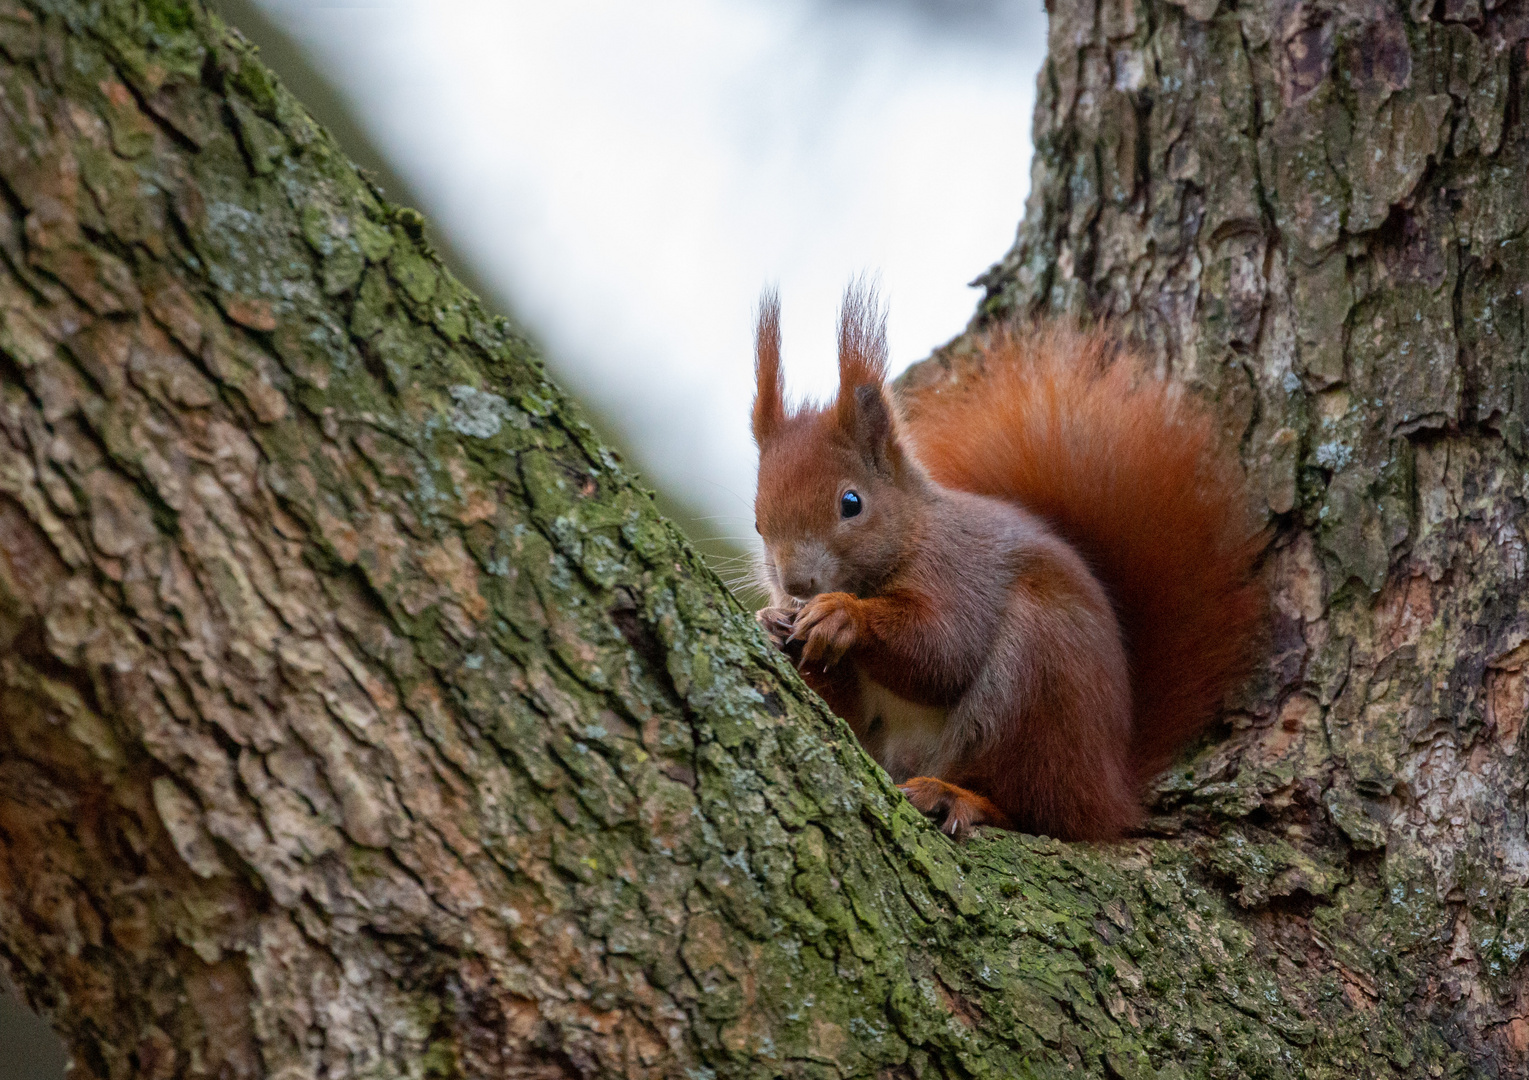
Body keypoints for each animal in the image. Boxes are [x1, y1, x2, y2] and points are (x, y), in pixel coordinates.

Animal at [752, 286, 1266, 844]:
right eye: (757, 523)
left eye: (851, 503)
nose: (796, 583)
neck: (912, 535)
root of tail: (1113, 785)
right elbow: (839, 707)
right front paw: (772, 621)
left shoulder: (959, 572)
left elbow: (944, 653)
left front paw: (842, 615)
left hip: (1036, 679)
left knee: (1036, 810)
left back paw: (960, 797)